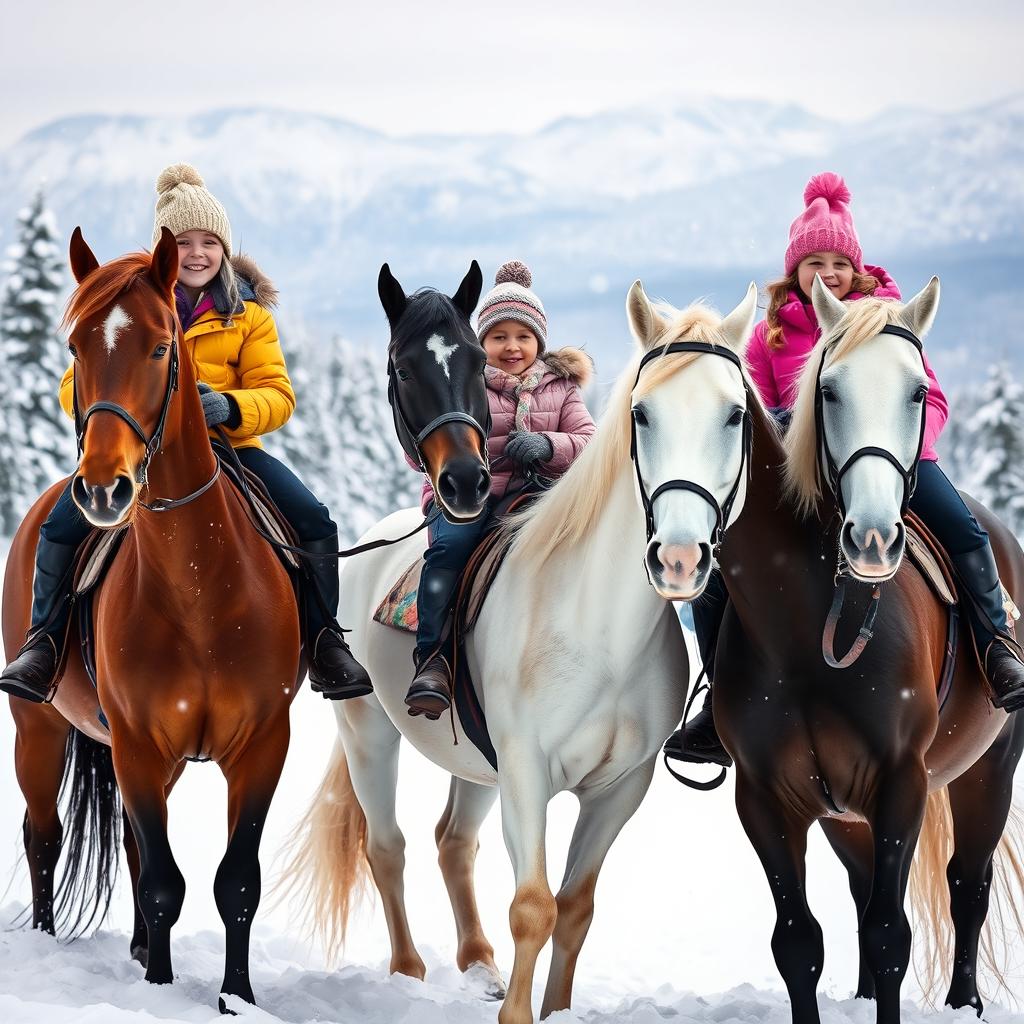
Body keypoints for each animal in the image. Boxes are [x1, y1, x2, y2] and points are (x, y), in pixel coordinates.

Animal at [3, 228, 303, 1011]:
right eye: (75, 346)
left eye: (163, 346)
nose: (104, 489)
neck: (197, 584)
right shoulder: (137, 740)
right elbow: (167, 881)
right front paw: (163, 986)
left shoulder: (262, 744)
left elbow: (235, 882)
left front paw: (235, 997)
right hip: (39, 730)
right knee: (44, 835)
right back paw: (50, 940)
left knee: (136, 845)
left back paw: (141, 949)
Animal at [281, 278, 762, 1024]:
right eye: (642, 415)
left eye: (735, 414)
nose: (680, 556)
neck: (598, 626)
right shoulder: (528, 772)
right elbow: (534, 907)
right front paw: (517, 1011)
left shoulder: (619, 788)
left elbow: (575, 908)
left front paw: (554, 1007)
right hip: (369, 734)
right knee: (387, 848)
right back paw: (408, 973)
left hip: (480, 766)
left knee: (453, 842)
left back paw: (479, 965)